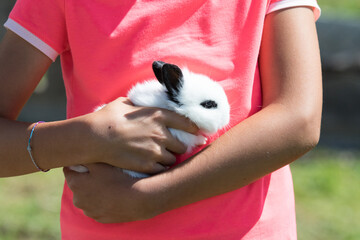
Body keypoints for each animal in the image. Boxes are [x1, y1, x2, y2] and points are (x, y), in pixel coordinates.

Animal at [69, 61, 229, 178]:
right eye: (208, 104)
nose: (227, 118)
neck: (170, 106)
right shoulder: (181, 135)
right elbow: (193, 140)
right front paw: (203, 140)